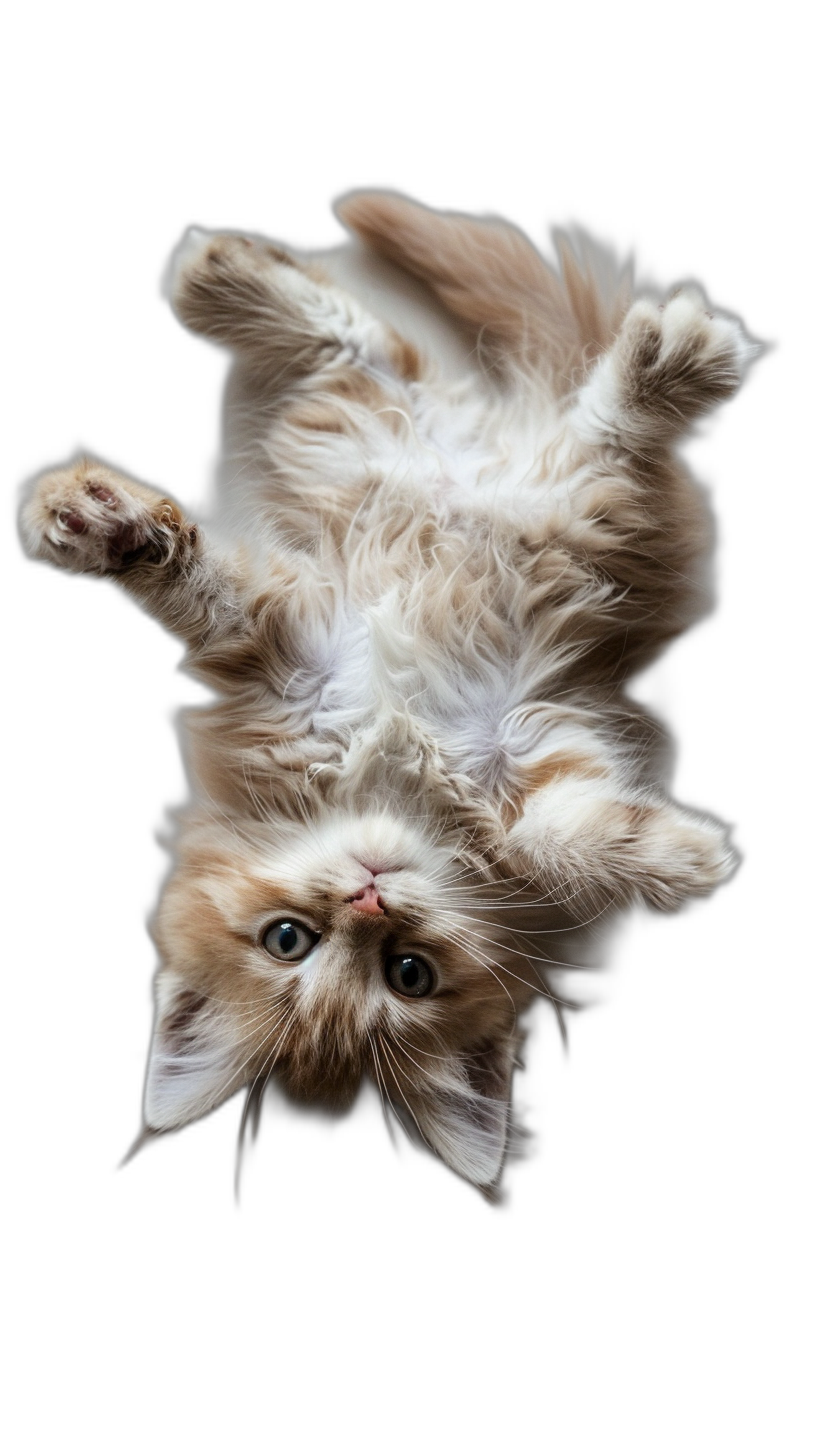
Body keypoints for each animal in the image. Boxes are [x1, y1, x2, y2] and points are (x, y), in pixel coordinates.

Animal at [17, 193, 757, 1193]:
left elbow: (196, 581)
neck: (395, 775)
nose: (370, 894)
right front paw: (691, 858)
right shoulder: (322, 669)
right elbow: (557, 832)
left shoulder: (309, 660)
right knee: (441, 381)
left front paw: (103, 528)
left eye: (406, 972)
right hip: (502, 484)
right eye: (294, 943)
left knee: (391, 352)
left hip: (500, 487)